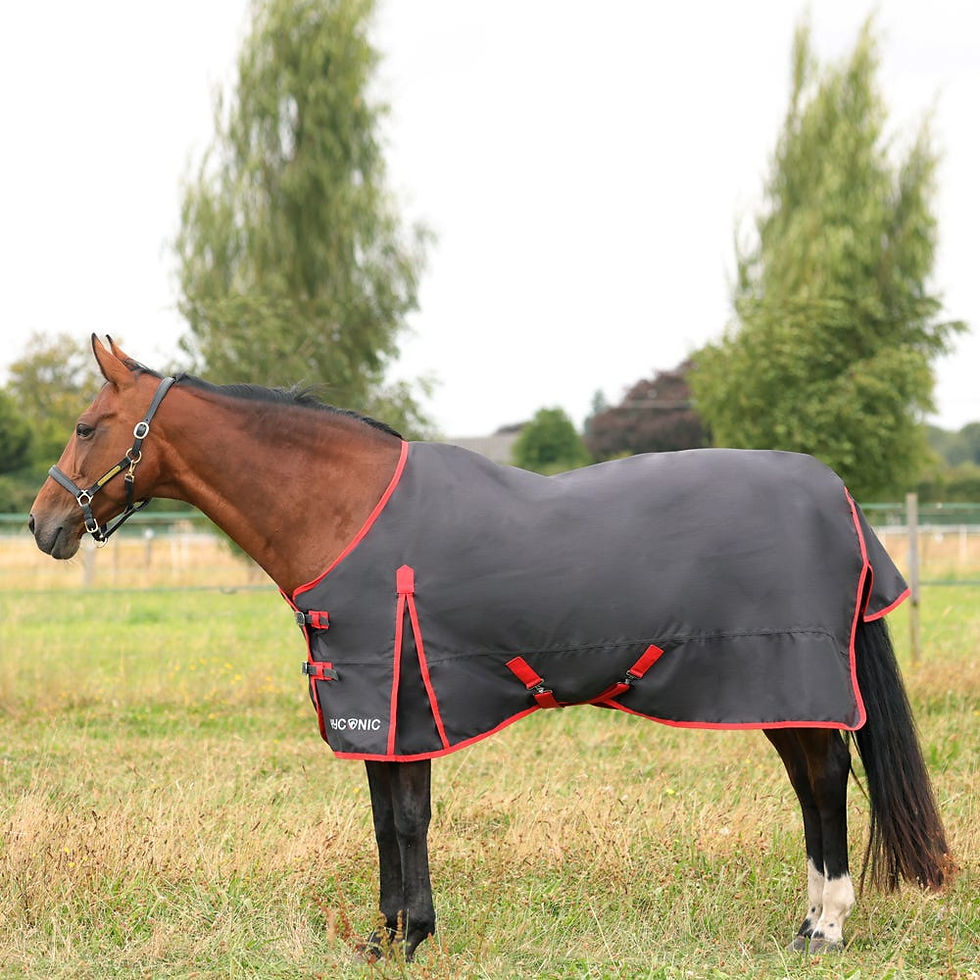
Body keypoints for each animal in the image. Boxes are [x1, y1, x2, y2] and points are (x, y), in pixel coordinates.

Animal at [29, 335, 951, 961]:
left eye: (86, 424)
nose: (43, 524)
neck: (346, 509)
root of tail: (836, 495)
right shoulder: (383, 705)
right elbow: (384, 819)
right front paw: (387, 935)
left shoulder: (401, 695)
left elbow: (406, 819)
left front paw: (410, 937)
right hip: (770, 689)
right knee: (810, 784)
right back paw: (805, 922)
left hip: (784, 672)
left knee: (825, 781)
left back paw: (827, 927)